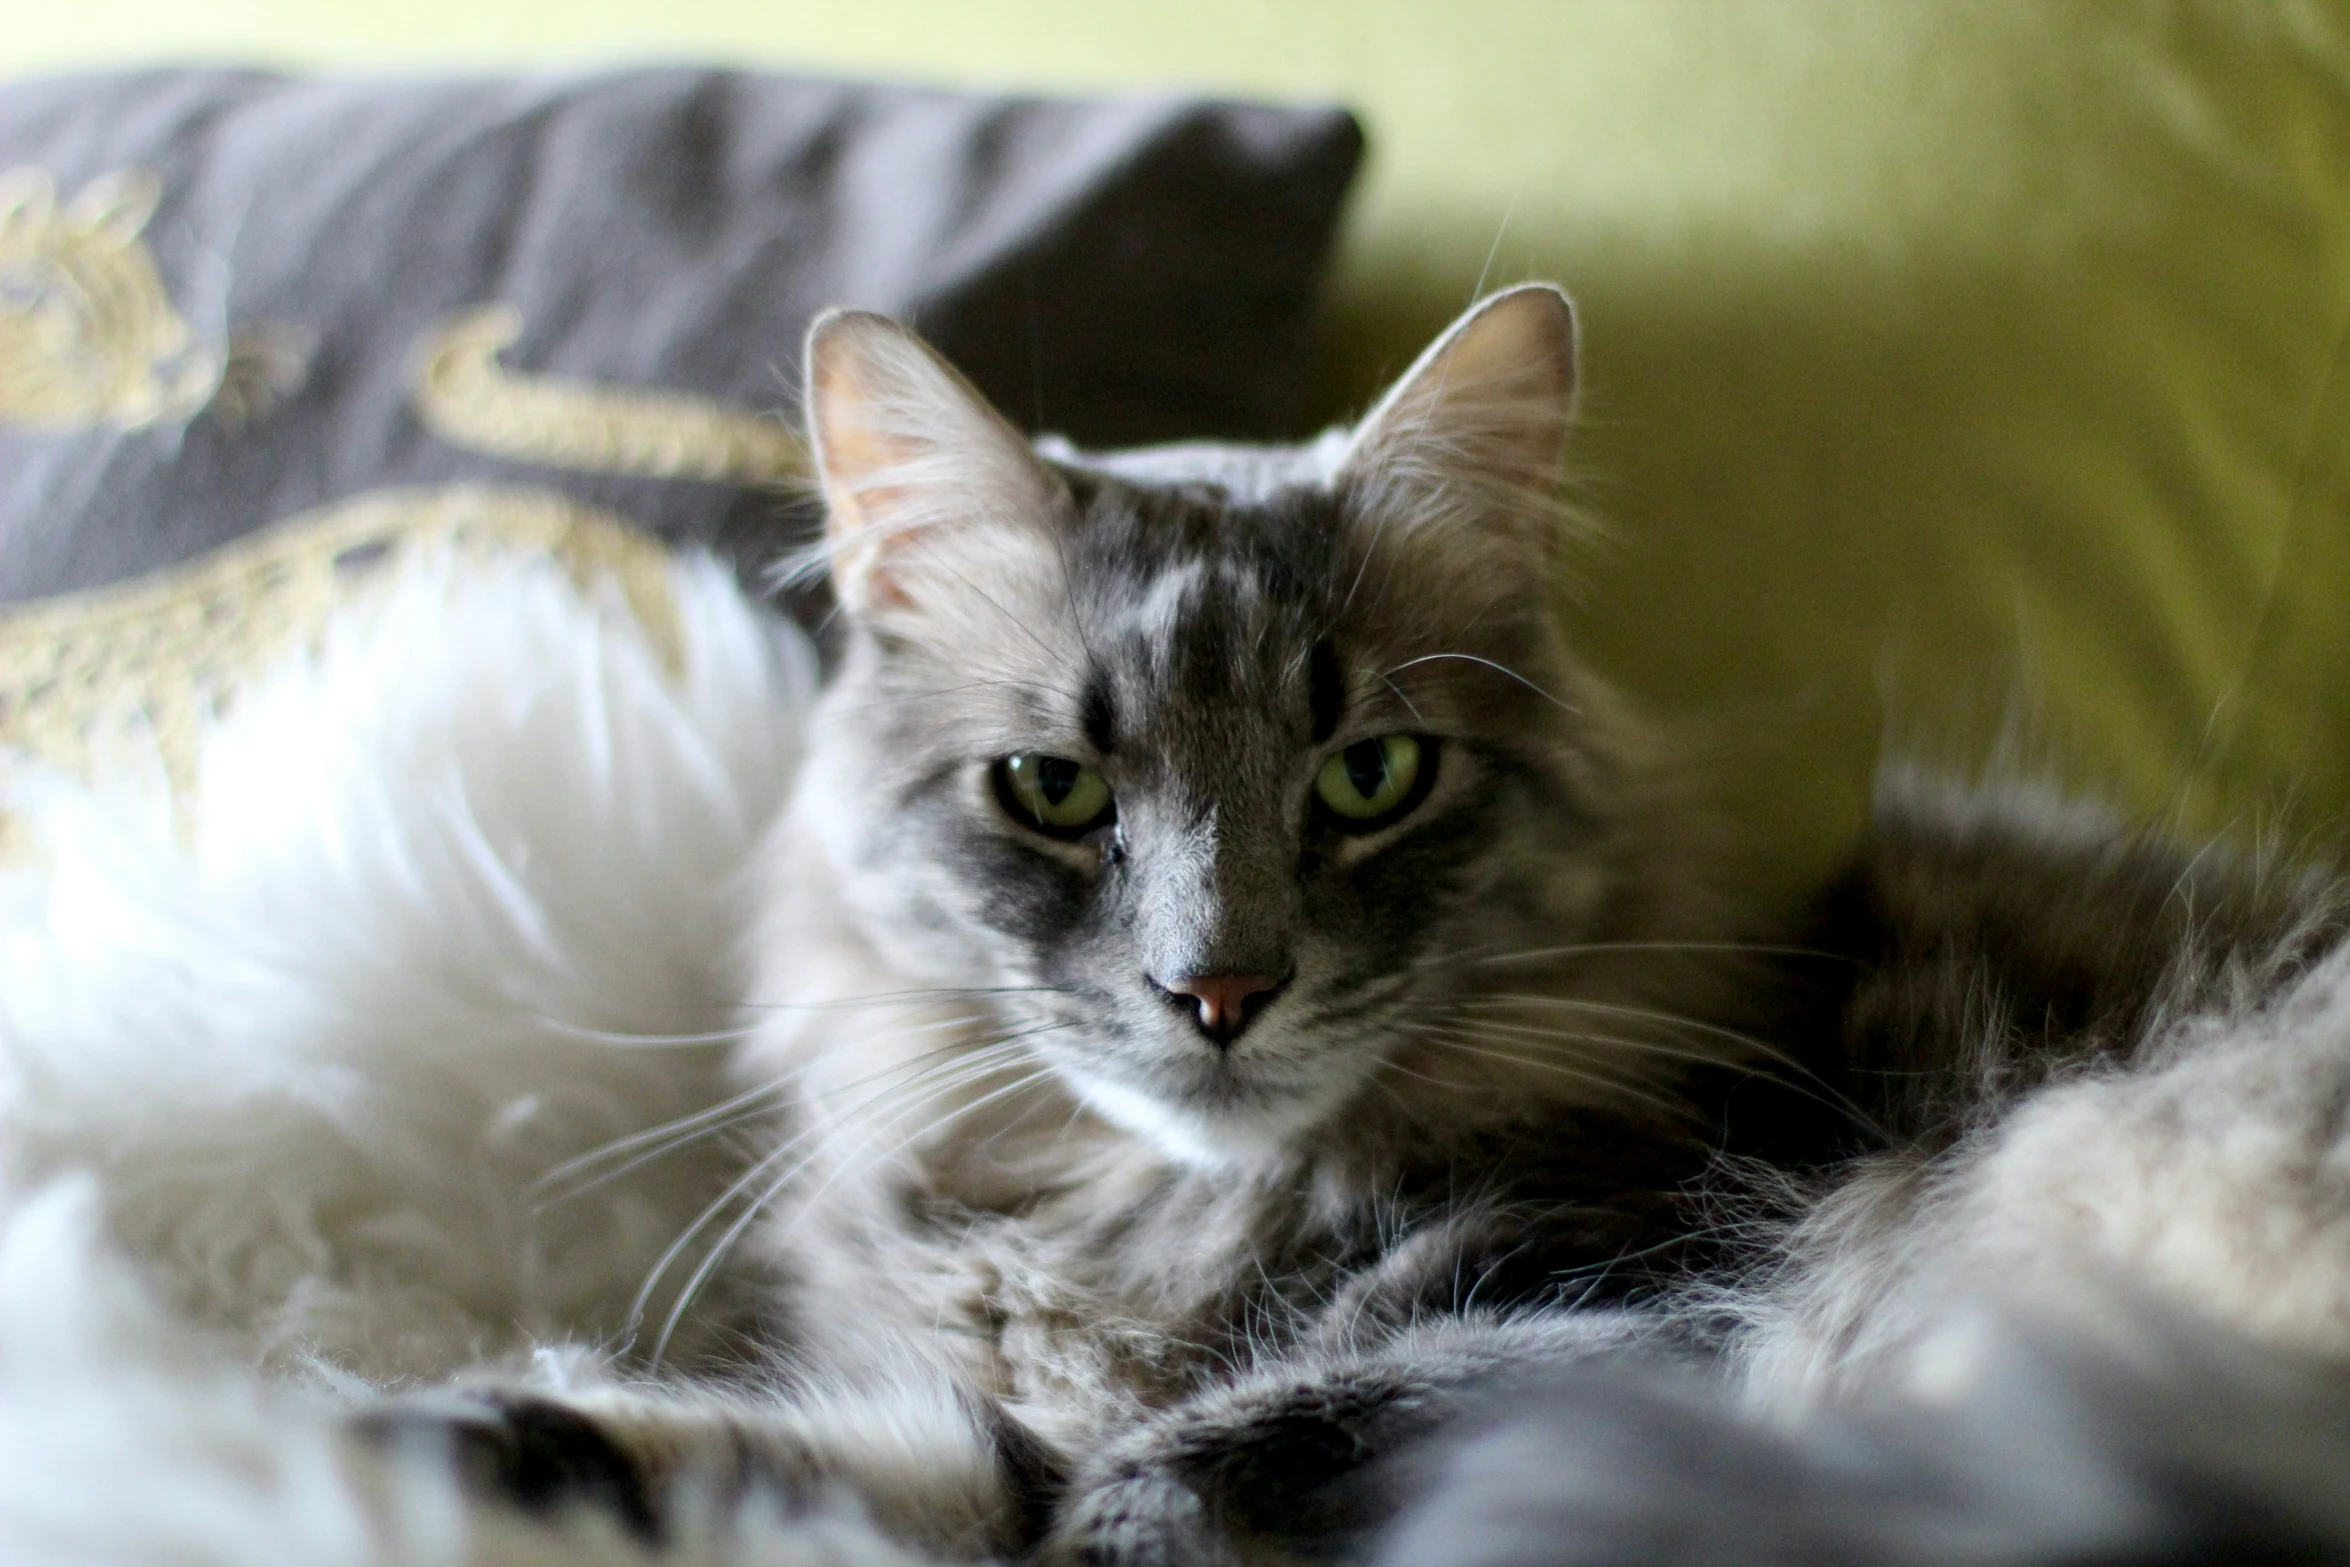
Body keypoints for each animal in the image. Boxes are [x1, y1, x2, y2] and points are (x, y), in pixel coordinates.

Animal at [371, 285, 2350, 1567]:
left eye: (1372, 773)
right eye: (1054, 790)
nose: (1219, 986)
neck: (1154, 1231)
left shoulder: (1642, 1307)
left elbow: (1226, 1445)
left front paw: (1122, 1522)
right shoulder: (965, 1429)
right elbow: (730, 1454)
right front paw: (393, 1436)